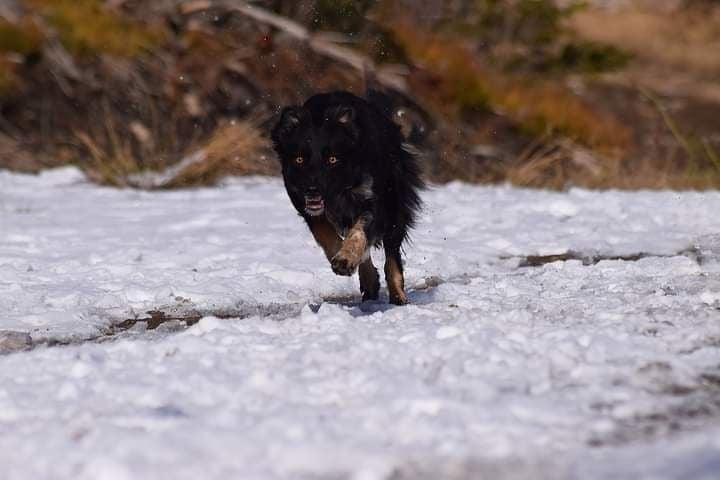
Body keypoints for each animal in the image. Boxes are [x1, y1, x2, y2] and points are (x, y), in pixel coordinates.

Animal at [272, 91, 424, 304]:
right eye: (299, 159)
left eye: (332, 159)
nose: (312, 190)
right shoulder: (306, 207)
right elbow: (327, 236)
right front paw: (343, 259)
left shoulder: (373, 203)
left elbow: (359, 233)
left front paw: (345, 259)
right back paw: (370, 281)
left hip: (394, 204)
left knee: (391, 253)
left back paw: (397, 295)